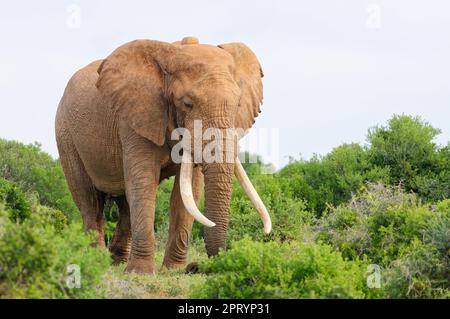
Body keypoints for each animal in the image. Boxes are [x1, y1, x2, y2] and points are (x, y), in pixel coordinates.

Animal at [54, 35, 268, 276]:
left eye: (238, 104)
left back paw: (116, 262)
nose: (195, 267)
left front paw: (172, 271)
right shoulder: (135, 117)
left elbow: (188, 191)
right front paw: (141, 274)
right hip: (66, 135)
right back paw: (97, 263)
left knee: (125, 204)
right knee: (90, 201)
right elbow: (144, 181)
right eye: (187, 104)